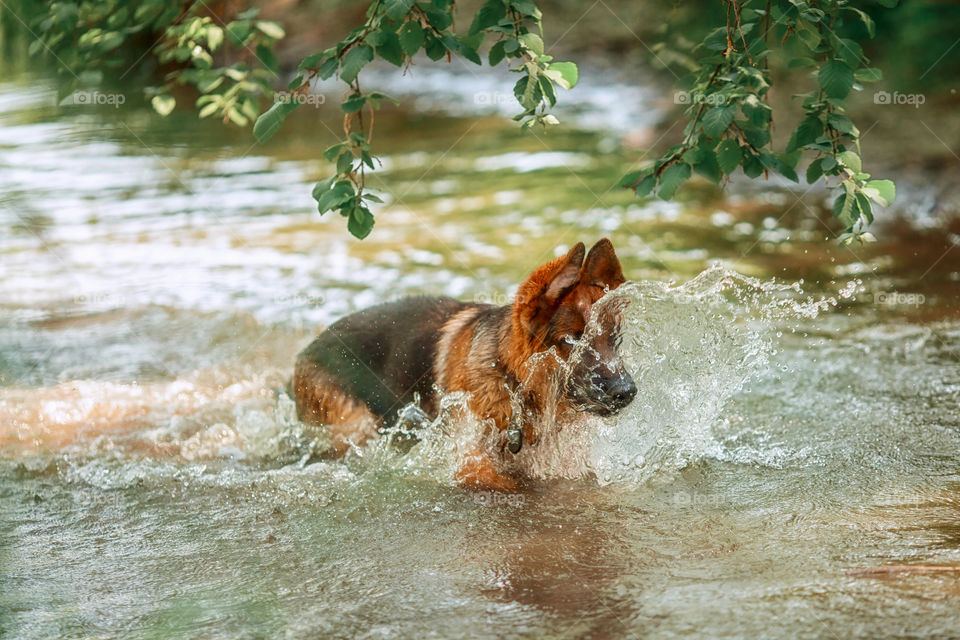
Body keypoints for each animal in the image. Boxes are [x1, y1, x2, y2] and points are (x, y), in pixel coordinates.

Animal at [292, 240, 636, 490]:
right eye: (571, 341)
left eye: (614, 338)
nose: (627, 392)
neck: (511, 381)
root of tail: (305, 351)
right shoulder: (469, 461)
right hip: (356, 426)